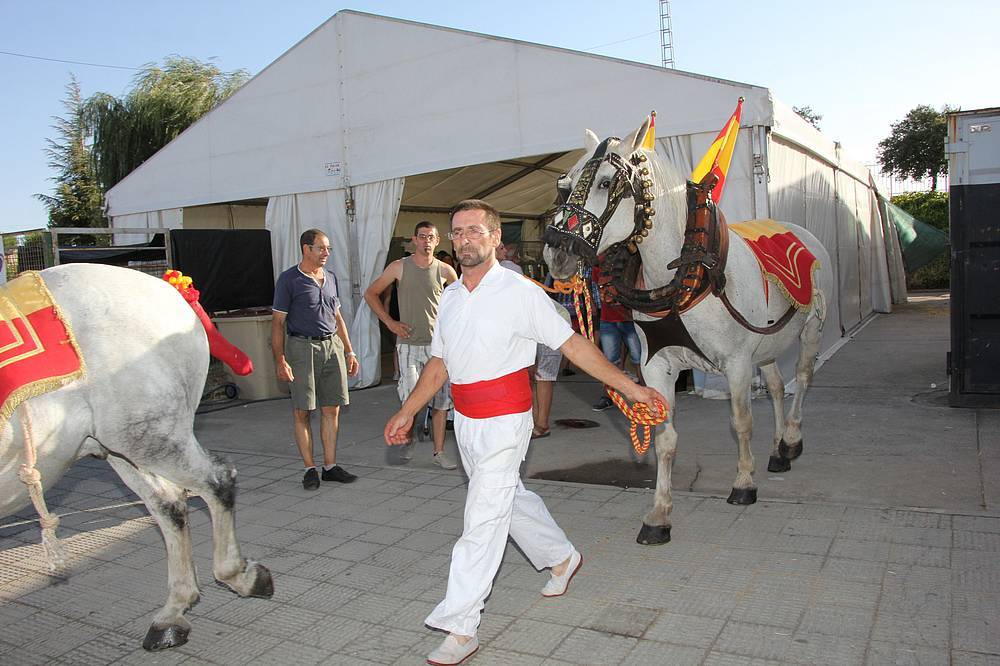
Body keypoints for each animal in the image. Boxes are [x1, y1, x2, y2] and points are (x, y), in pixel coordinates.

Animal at [0, 263, 273, 650]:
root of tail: (169, 289)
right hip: (122, 446)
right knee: (169, 504)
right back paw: (173, 614)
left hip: (146, 435)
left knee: (215, 482)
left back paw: (237, 575)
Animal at [543, 116, 832, 545]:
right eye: (565, 184)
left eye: (607, 183)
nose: (556, 252)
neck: (685, 272)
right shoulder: (656, 366)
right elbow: (664, 439)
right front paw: (659, 514)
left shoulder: (736, 363)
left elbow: (741, 422)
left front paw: (743, 483)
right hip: (765, 345)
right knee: (778, 387)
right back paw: (779, 449)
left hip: (810, 328)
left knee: (803, 376)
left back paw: (792, 439)